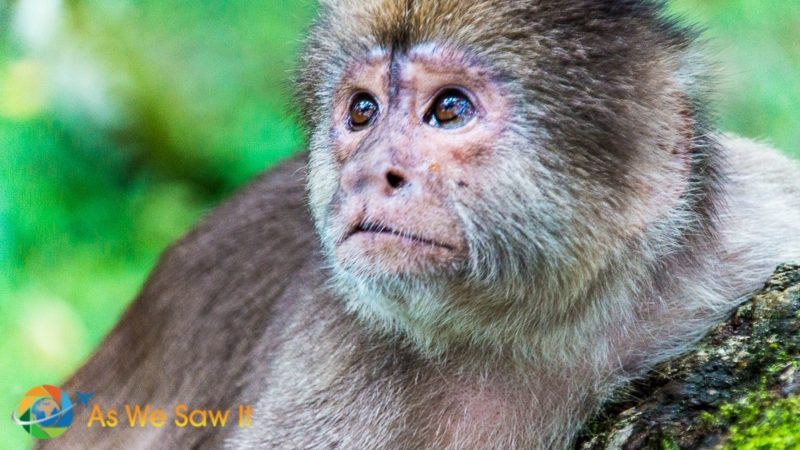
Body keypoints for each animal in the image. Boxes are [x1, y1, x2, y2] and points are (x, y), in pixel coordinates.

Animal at [40, 0, 800, 450]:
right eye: (363, 111)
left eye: (449, 109)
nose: (370, 172)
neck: (549, 329)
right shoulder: (332, 365)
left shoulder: (755, 226)